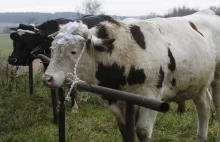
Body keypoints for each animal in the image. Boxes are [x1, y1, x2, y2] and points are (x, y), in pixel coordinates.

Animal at [42, 9, 220, 141]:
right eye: (52, 49)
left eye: (73, 51)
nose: (47, 78)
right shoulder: (117, 100)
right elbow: (125, 131)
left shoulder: (152, 97)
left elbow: (142, 132)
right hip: (197, 84)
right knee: (204, 105)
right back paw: (201, 137)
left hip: (217, 79)